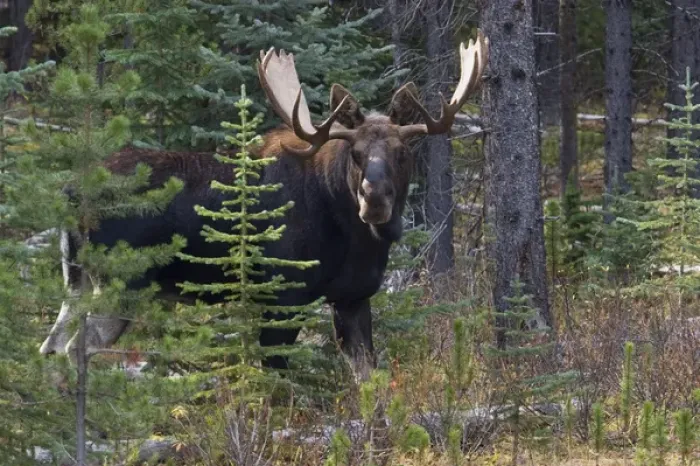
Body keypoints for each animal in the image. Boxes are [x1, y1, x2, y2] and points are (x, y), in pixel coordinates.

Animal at [39, 31, 489, 382]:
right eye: (356, 153)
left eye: (402, 152)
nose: (373, 197)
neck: (357, 239)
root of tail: (68, 192)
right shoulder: (282, 295)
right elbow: (275, 377)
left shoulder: (353, 296)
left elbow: (368, 377)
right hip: (121, 283)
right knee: (76, 348)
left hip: (76, 280)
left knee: (50, 345)